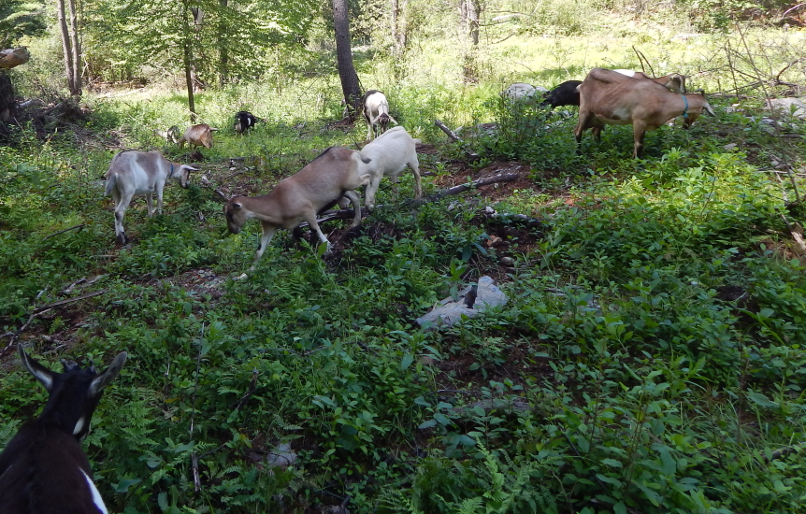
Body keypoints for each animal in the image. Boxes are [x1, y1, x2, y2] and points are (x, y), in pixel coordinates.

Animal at [221, 144, 372, 264]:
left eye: (231, 214)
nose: (232, 230)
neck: (277, 203)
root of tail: (351, 151)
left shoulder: (308, 211)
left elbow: (315, 229)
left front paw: (328, 248)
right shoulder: (271, 227)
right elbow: (259, 251)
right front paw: (245, 275)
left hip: (351, 180)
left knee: (367, 179)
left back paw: (370, 204)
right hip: (341, 190)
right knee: (355, 196)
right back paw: (356, 222)